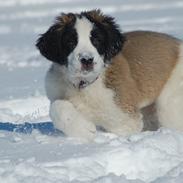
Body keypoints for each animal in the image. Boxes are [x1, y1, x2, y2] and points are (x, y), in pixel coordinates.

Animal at [36, 9, 183, 140]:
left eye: (96, 41)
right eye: (71, 42)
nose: (87, 60)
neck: (84, 85)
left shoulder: (126, 120)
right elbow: (56, 106)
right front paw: (83, 129)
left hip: (169, 105)